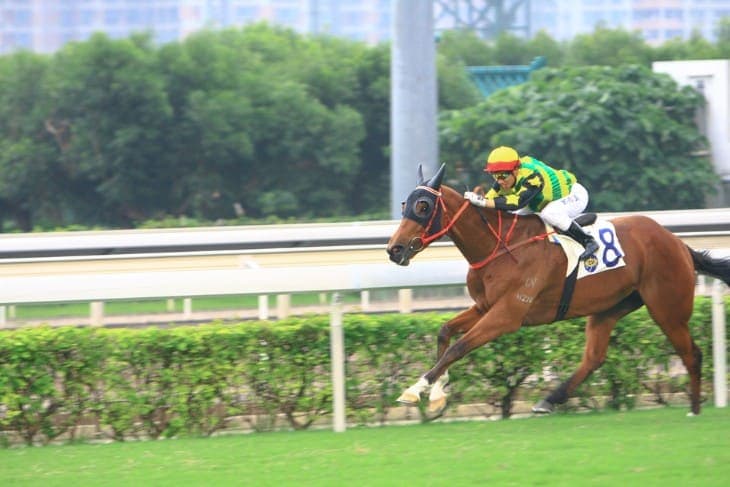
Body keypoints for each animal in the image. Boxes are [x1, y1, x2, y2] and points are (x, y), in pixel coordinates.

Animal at [386, 164, 730, 416]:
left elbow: (458, 347)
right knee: (594, 357)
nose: (394, 249)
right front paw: (436, 395)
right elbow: (445, 332)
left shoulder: (507, 315)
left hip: (666, 308)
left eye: (422, 205)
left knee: (692, 353)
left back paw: (695, 409)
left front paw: (414, 390)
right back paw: (549, 399)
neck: (500, 246)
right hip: (610, 307)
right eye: (404, 204)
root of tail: (679, 244)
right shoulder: (485, 307)